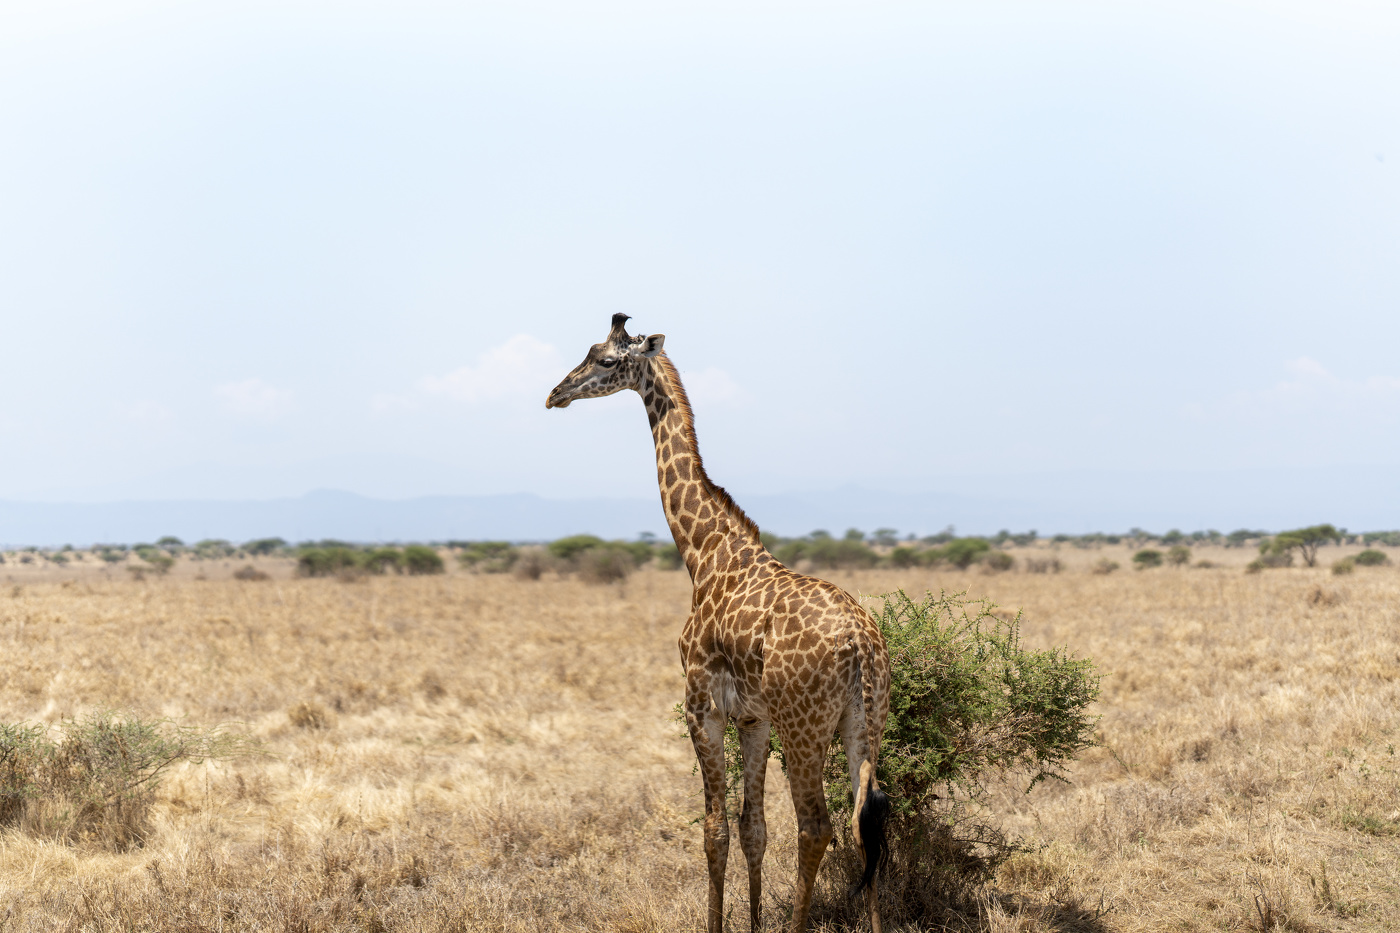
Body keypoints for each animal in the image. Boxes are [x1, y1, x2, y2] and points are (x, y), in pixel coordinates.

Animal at [546, 314, 891, 933]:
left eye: (605, 360)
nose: (555, 394)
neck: (703, 553)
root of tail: (860, 645)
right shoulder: (754, 718)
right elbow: (753, 829)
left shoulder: (700, 705)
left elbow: (715, 830)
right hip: (865, 724)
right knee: (864, 824)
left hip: (805, 726)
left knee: (817, 827)